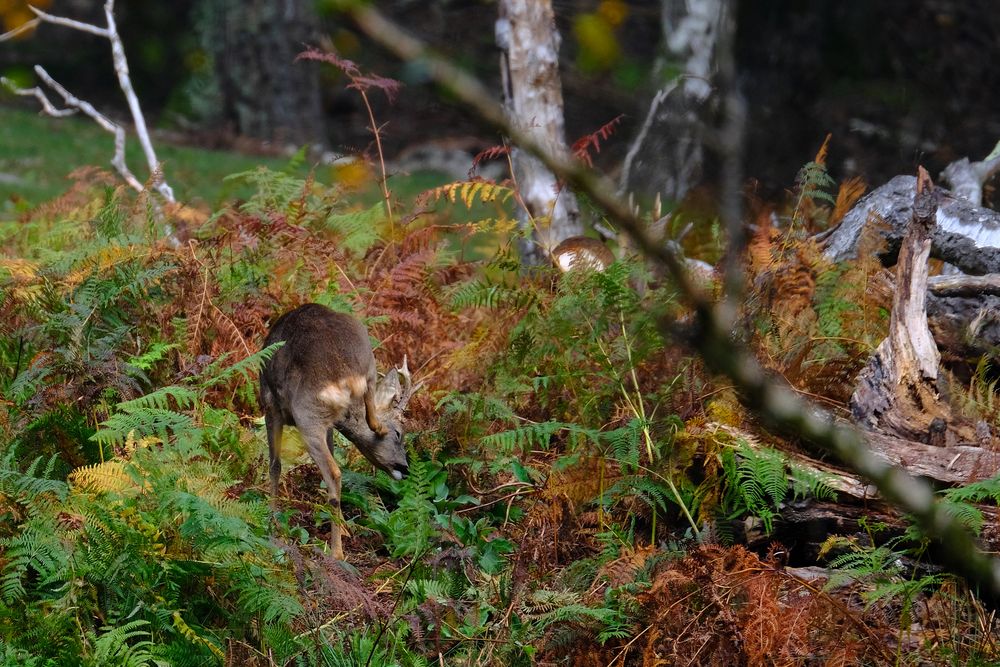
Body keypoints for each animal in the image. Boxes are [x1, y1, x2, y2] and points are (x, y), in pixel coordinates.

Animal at [260, 306, 416, 560]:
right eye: (399, 434)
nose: (404, 467)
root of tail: (347, 376)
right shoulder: (330, 425)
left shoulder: (270, 405)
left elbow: (275, 465)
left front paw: (271, 516)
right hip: (365, 372)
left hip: (307, 416)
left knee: (333, 474)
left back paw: (336, 551)